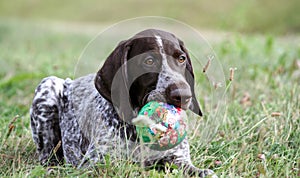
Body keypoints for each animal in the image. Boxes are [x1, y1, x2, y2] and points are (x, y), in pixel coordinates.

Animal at [30, 28, 216, 177]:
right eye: (149, 61)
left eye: (181, 58)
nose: (183, 95)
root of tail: (70, 82)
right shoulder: (95, 163)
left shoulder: (177, 157)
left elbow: (199, 170)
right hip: (48, 85)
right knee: (48, 157)